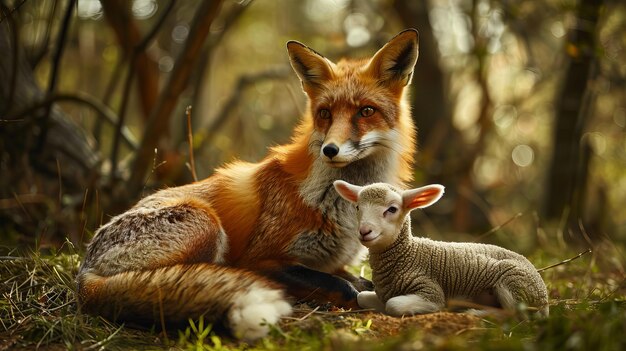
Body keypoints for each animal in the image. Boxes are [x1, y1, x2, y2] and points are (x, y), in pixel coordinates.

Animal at [77, 28, 420, 342]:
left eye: (366, 111)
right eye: (325, 113)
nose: (330, 150)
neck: (338, 204)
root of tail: (84, 272)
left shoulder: (331, 262)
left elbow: (361, 282)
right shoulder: (260, 259)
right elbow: (346, 288)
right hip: (206, 224)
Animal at [332, 182, 544, 320]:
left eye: (392, 209)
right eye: (357, 207)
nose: (364, 231)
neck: (407, 255)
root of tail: (545, 301)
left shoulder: (430, 290)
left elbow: (394, 304)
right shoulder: (381, 293)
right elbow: (362, 297)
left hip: (514, 281)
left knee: (516, 314)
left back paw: (472, 312)